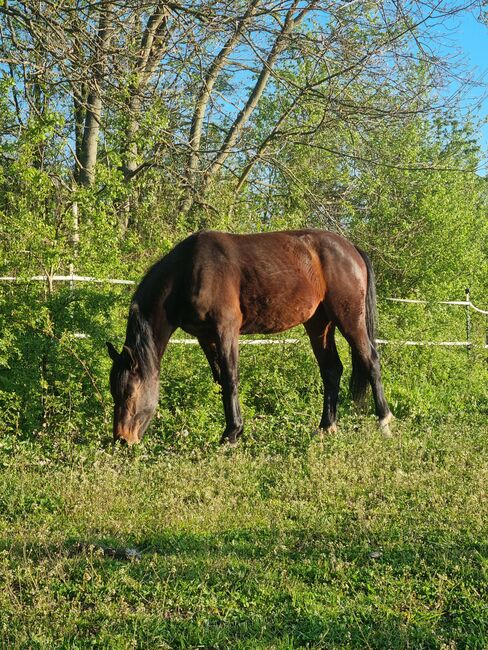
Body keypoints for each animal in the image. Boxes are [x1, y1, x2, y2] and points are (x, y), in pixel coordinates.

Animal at [107, 225, 392, 442]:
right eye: (113, 392)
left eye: (129, 392)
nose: (122, 439)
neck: (189, 271)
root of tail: (351, 248)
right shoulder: (205, 337)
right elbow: (220, 380)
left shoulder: (226, 330)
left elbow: (231, 378)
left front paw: (232, 434)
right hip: (318, 323)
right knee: (331, 369)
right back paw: (326, 427)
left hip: (349, 318)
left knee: (371, 361)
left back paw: (384, 421)